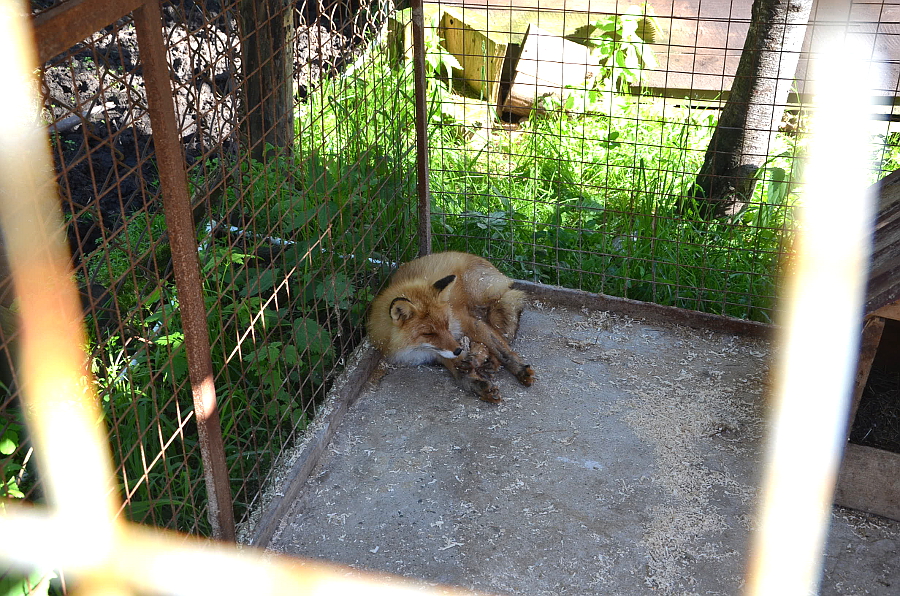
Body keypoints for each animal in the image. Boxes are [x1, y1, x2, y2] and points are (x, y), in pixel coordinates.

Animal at [367, 251, 535, 403]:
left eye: (446, 324)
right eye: (429, 333)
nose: (458, 350)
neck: (415, 348)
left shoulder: (465, 321)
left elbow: (500, 348)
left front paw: (520, 368)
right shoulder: (440, 351)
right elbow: (460, 373)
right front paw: (478, 385)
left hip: (489, 302)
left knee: (501, 335)